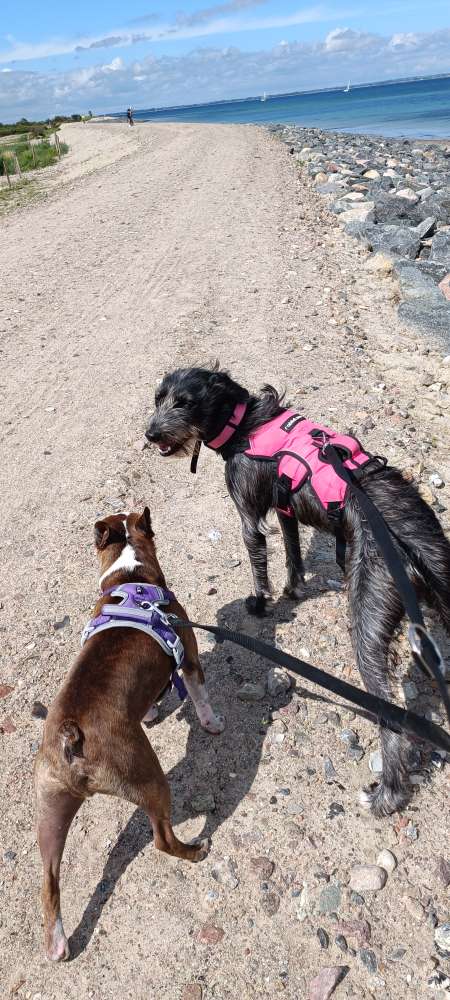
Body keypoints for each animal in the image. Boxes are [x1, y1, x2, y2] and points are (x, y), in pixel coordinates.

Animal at [35, 508, 225, 960]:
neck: (130, 576)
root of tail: (71, 737)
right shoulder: (190, 660)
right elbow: (201, 697)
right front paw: (212, 723)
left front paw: (153, 711)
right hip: (150, 779)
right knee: (162, 839)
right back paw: (195, 851)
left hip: (50, 809)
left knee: (49, 880)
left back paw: (58, 943)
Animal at [145, 364, 450, 816]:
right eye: (158, 399)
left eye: (184, 402)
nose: (150, 434)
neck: (246, 423)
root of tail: (410, 545)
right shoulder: (284, 507)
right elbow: (292, 553)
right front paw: (292, 590)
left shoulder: (249, 513)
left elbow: (258, 559)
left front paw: (260, 601)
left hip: (369, 616)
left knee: (390, 715)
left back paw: (388, 794)